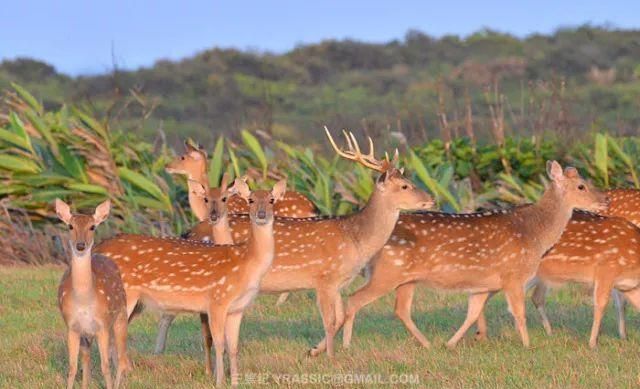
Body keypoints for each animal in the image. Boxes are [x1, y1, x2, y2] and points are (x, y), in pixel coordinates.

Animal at [55, 200, 129, 388]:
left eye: (92, 227)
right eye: (70, 226)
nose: (80, 245)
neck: (84, 300)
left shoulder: (102, 325)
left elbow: (105, 366)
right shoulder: (72, 327)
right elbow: (72, 367)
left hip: (121, 315)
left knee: (121, 359)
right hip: (87, 335)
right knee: (86, 359)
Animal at [95, 180, 284, 384]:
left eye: (272, 200)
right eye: (250, 200)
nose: (261, 214)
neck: (246, 265)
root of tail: (97, 247)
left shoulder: (237, 308)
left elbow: (233, 347)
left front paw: (235, 382)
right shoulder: (217, 300)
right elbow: (219, 343)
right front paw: (219, 381)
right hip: (124, 296)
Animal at [330, 159, 608, 348]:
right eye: (582, 186)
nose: (605, 199)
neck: (534, 234)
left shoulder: (484, 285)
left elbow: (472, 313)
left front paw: (451, 343)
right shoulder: (512, 274)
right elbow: (519, 313)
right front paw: (528, 345)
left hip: (406, 279)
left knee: (400, 309)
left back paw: (427, 344)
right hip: (387, 273)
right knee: (355, 299)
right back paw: (345, 344)